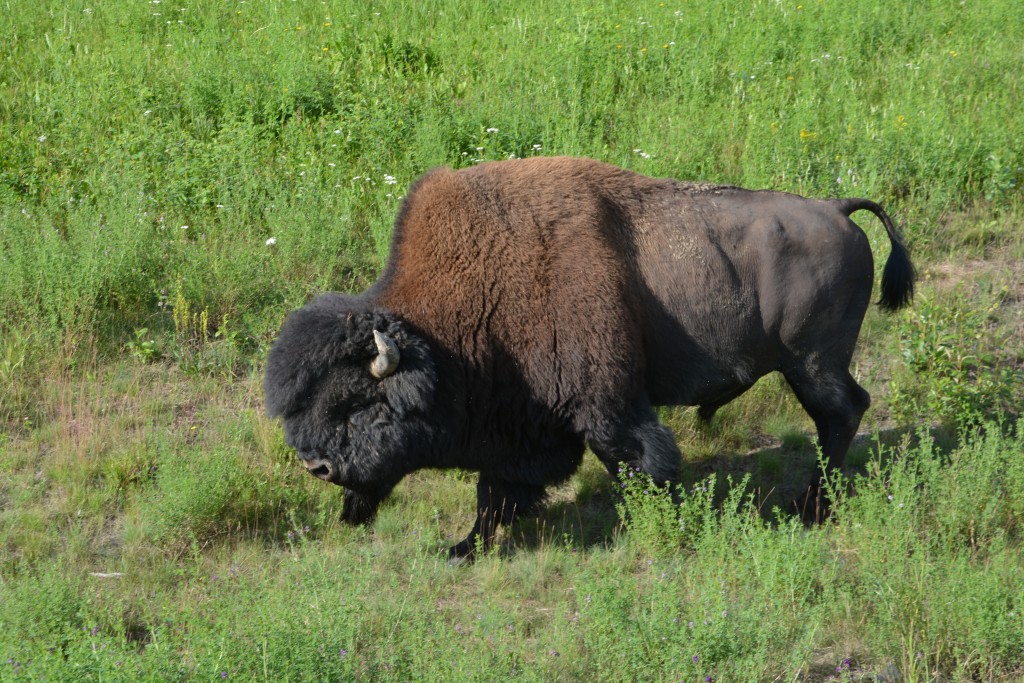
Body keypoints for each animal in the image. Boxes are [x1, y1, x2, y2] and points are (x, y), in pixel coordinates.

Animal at [262, 156, 913, 561]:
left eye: (357, 403)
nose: (316, 466)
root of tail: (836, 209)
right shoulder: (517, 430)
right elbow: (495, 495)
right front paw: (462, 549)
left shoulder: (607, 405)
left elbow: (640, 463)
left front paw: (662, 524)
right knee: (843, 414)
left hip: (811, 364)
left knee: (841, 415)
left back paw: (810, 508)